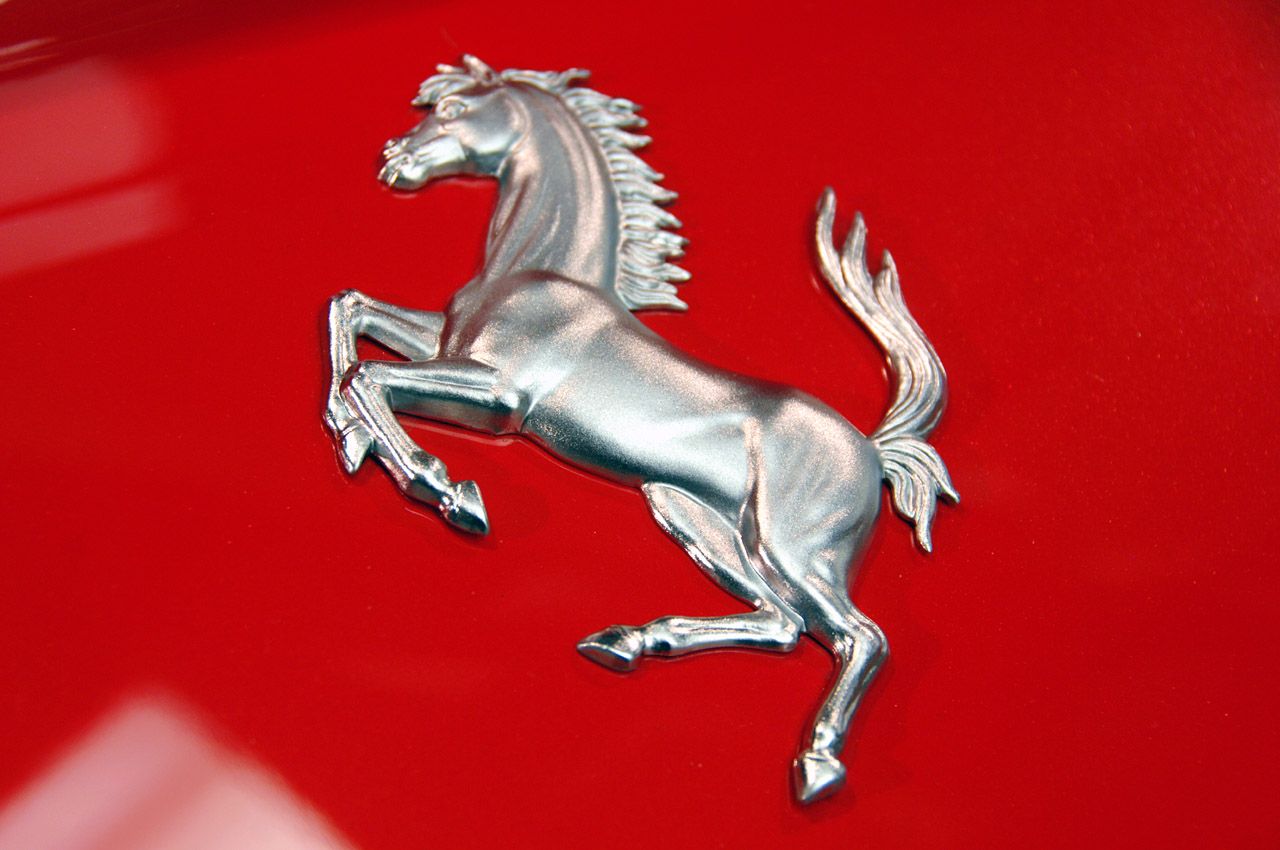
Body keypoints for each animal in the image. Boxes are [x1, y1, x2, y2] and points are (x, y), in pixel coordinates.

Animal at [324, 55, 957, 804]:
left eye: (452, 109)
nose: (393, 160)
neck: (542, 265)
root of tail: (873, 451)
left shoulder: (501, 394)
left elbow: (367, 373)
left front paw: (450, 493)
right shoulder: (446, 346)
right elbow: (348, 311)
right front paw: (349, 435)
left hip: (793, 546)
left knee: (861, 636)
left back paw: (818, 761)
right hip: (690, 514)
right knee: (783, 624)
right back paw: (623, 642)